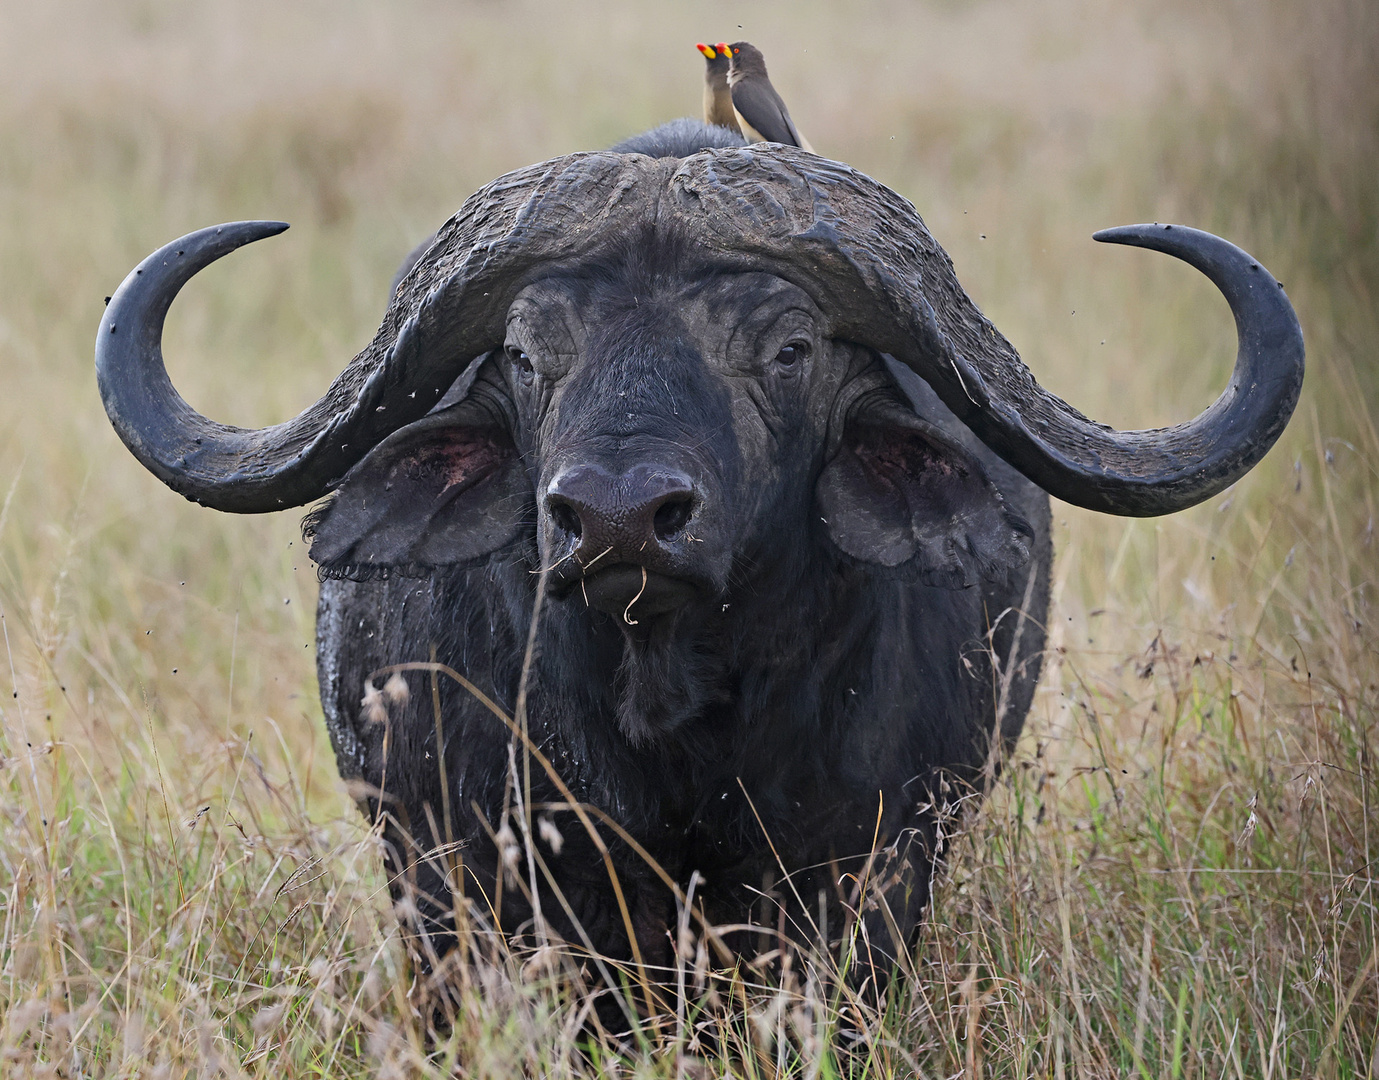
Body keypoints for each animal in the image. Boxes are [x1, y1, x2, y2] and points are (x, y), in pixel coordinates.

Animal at [97, 122, 1301, 998]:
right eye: (526, 353)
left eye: (789, 348)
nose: (619, 519)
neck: (660, 729)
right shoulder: (452, 879)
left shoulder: (871, 875)